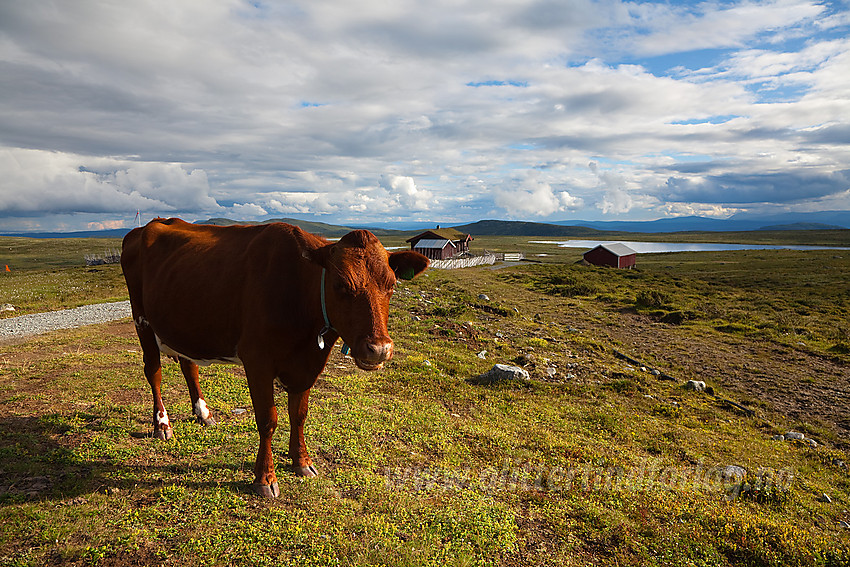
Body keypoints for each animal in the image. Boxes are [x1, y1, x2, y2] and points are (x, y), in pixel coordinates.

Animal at [122, 217, 428, 496]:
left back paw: (203, 413)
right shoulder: (257, 360)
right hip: (142, 320)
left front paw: (301, 461)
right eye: (340, 284)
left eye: (391, 284)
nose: (379, 349)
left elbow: (299, 415)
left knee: (189, 366)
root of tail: (153, 223)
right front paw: (265, 478)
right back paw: (162, 424)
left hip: (184, 325)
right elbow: (268, 420)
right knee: (154, 372)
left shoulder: (306, 366)